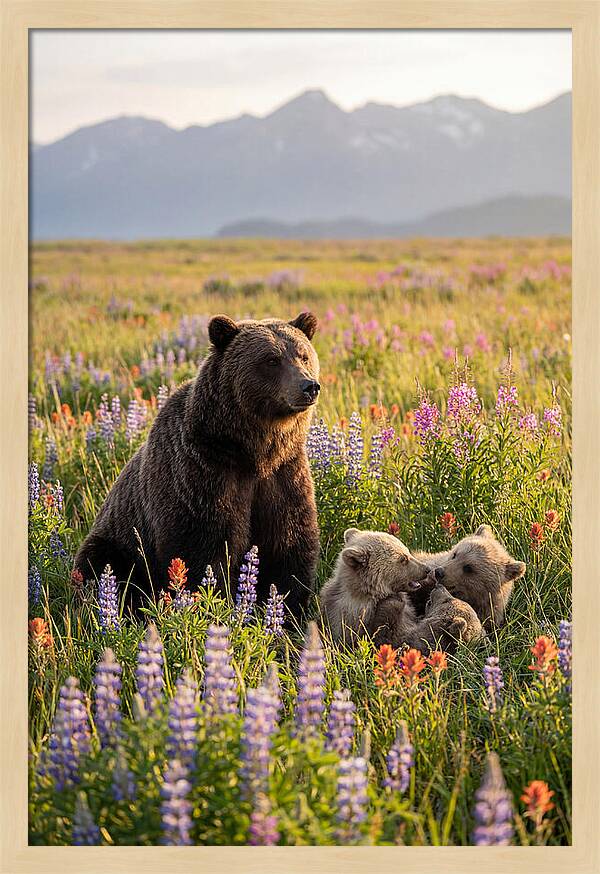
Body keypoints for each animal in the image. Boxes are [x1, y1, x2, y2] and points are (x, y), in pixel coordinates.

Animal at [74, 311, 321, 619]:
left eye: (303, 356)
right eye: (271, 360)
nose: (308, 386)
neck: (253, 451)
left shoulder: (284, 474)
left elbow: (289, 545)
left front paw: (288, 614)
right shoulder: (202, 473)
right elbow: (202, 548)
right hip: (118, 541)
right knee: (103, 567)